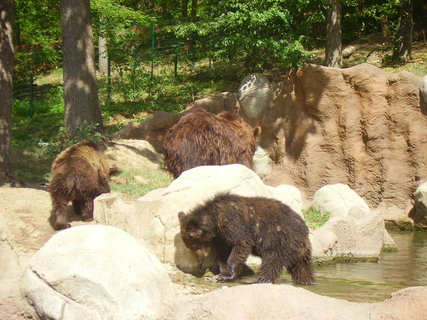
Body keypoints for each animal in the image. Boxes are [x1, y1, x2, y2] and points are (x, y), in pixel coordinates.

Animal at [179, 192, 316, 284]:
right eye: (191, 246)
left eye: (194, 245)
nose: (199, 260)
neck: (215, 221)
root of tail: (304, 231)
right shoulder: (222, 237)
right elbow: (223, 253)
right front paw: (221, 274)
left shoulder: (233, 223)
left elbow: (241, 245)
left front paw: (227, 276)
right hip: (301, 251)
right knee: (302, 268)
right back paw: (307, 281)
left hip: (280, 239)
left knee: (271, 261)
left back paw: (259, 280)